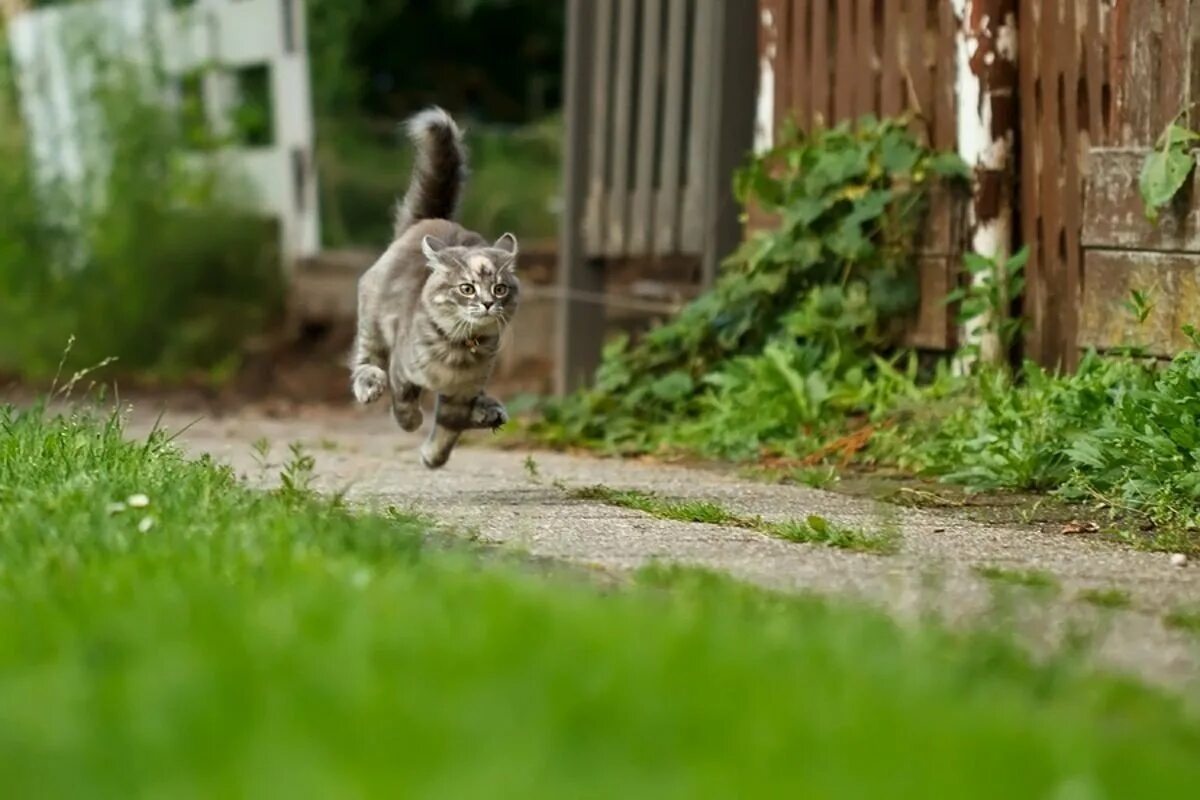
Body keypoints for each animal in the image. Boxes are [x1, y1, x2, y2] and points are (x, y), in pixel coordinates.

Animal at [348, 106, 516, 470]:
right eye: (467, 289)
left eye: (500, 289)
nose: (487, 304)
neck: (458, 350)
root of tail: (427, 221)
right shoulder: (402, 369)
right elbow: (404, 403)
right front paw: (411, 422)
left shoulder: (462, 392)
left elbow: (450, 427)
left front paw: (434, 457)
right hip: (373, 323)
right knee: (365, 360)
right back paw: (369, 385)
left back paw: (489, 411)